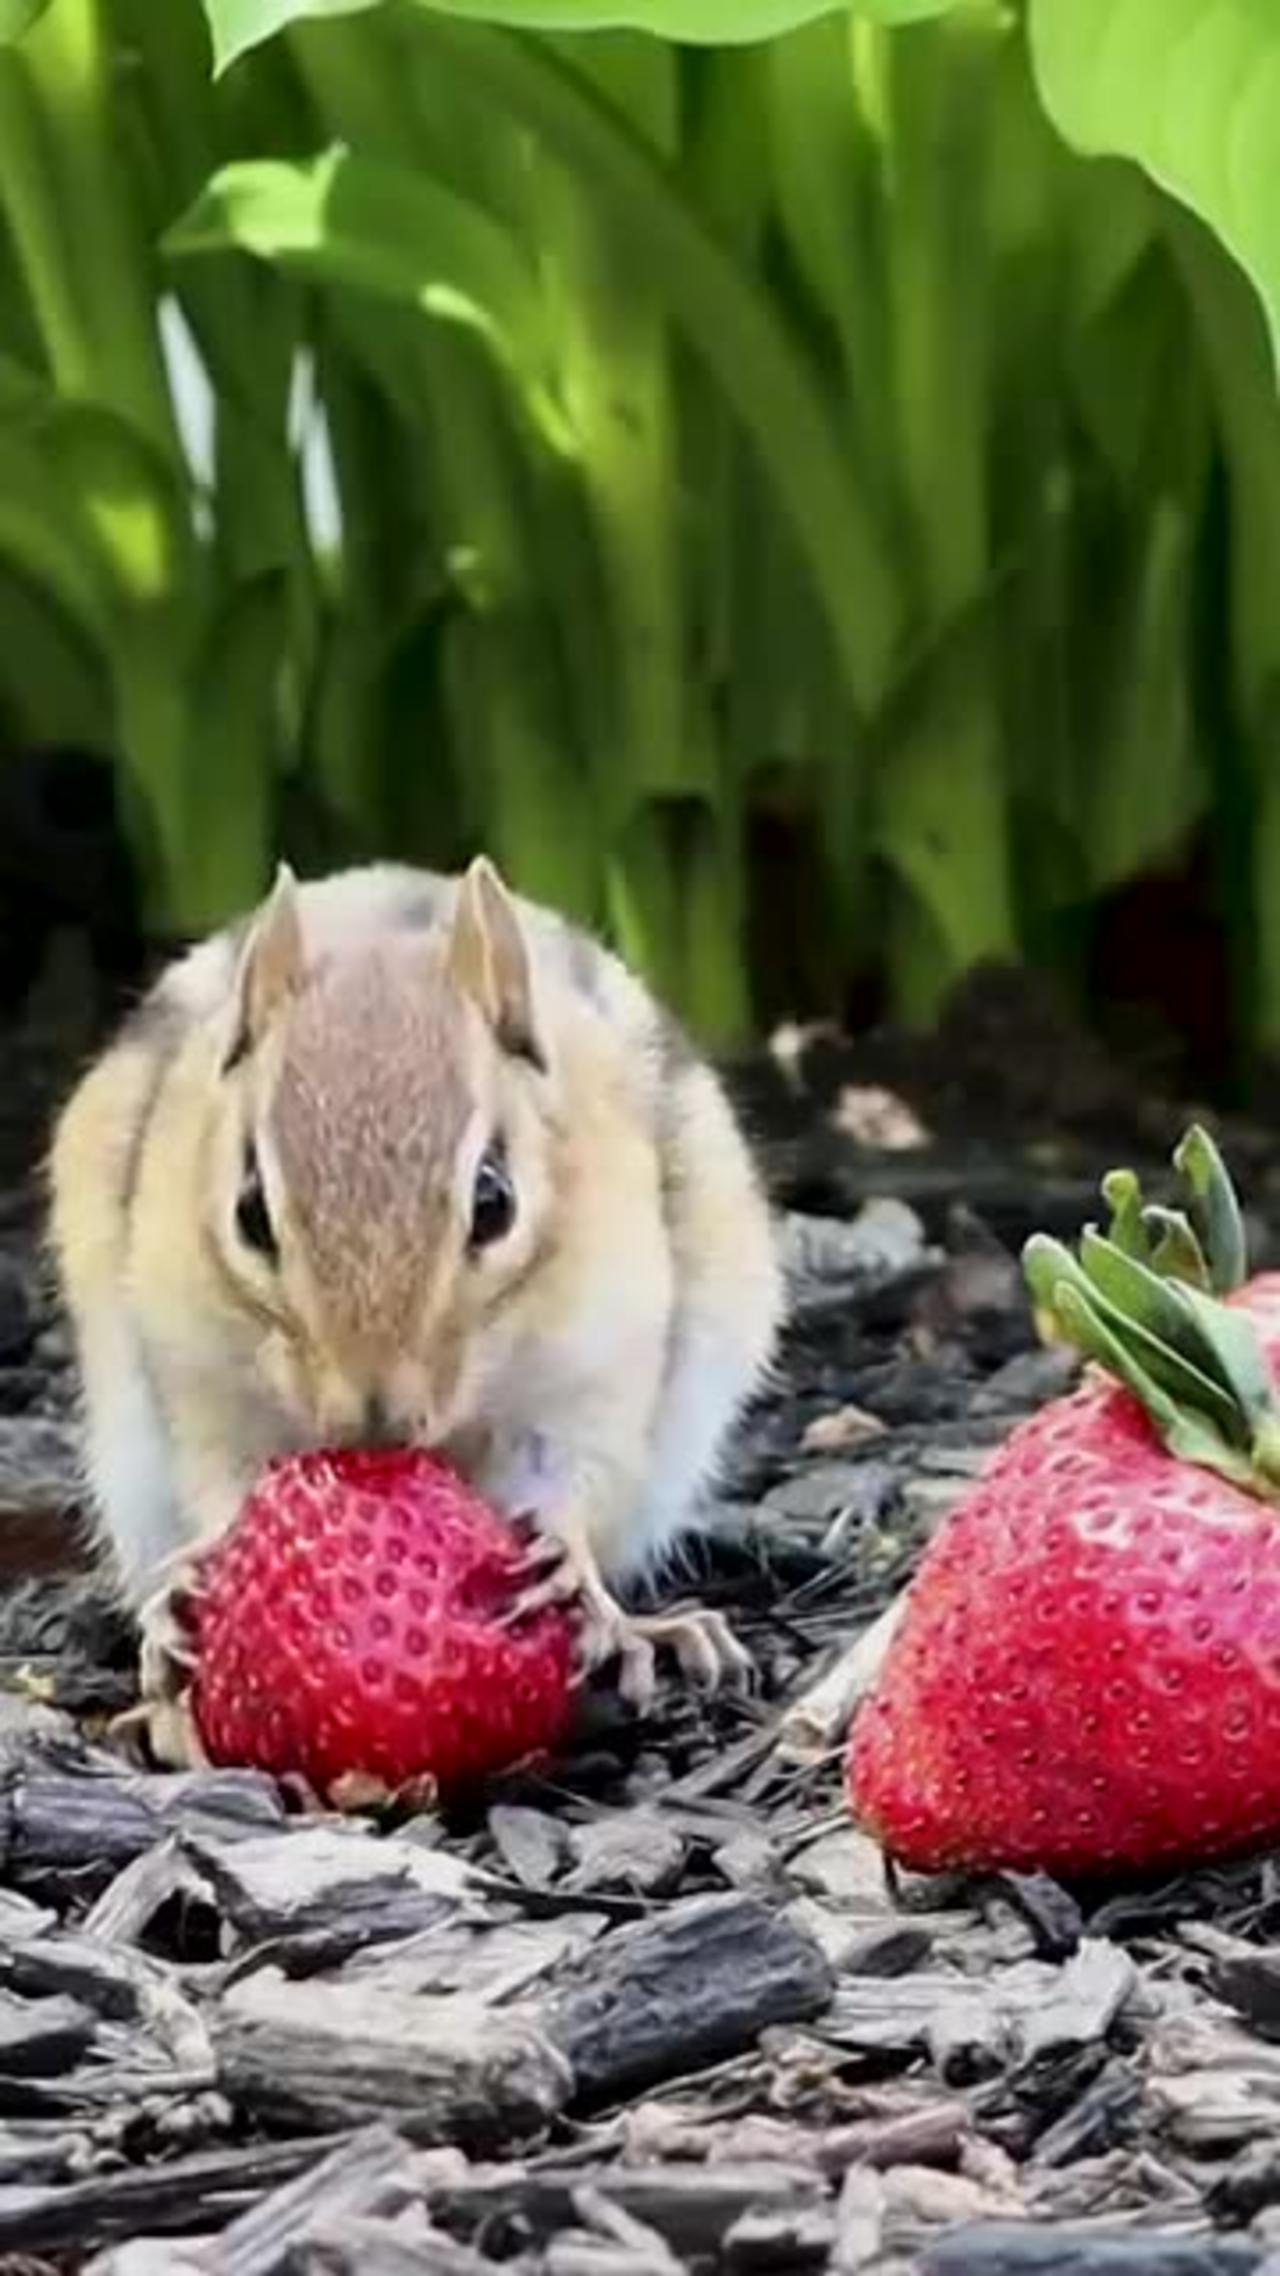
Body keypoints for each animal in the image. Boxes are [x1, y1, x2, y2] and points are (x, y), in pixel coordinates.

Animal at [48, 857, 783, 1754]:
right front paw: (191, 1578)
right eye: (250, 1211)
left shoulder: (597, 1364)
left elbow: (576, 1471)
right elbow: (221, 1485)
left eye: (495, 1201)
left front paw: (566, 1561)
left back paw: (658, 1634)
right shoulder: (200, 1383)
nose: (374, 1422)